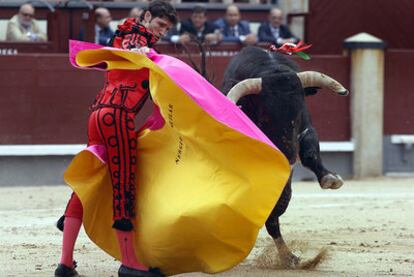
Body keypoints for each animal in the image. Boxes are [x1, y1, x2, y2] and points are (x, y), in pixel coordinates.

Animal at [222, 45, 348, 268]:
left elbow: (309, 151)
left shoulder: (306, 127)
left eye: (298, 111)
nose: (288, 155)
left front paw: (330, 178)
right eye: (265, 115)